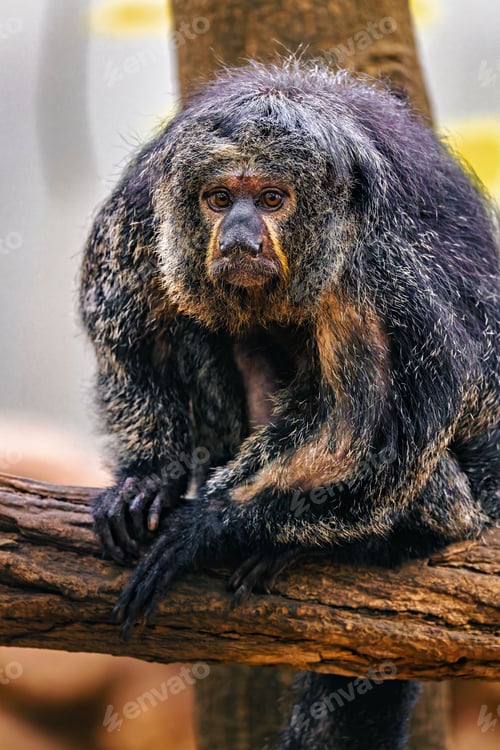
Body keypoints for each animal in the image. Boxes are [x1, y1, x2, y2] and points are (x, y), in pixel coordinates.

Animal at [80, 60, 499, 750]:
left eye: (273, 200)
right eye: (220, 199)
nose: (240, 238)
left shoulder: (377, 264)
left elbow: (379, 426)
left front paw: (212, 526)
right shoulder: (140, 211)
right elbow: (130, 336)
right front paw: (147, 477)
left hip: (475, 504)